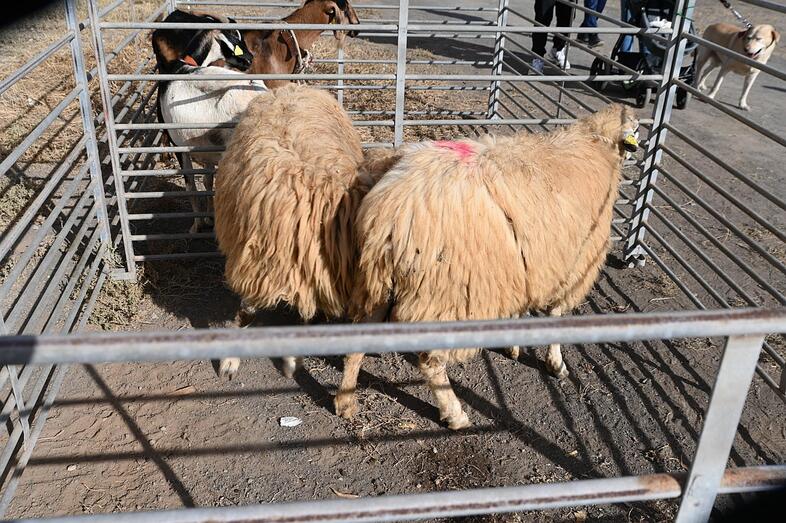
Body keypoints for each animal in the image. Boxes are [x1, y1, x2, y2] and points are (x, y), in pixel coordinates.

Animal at [213, 84, 398, 379]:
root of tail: (294, 87)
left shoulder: (313, 271)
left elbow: (307, 316)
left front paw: (292, 360)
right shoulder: (255, 262)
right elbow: (246, 312)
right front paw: (230, 360)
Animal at [334, 103, 639, 429]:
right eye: (633, 128)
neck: (594, 145)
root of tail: (389, 209)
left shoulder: (521, 263)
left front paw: (512, 343)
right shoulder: (573, 265)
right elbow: (556, 316)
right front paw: (556, 364)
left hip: (378, 282)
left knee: (358, 339)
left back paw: (345, 401)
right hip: (446, 294)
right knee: (430, 362)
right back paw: (455, 414)